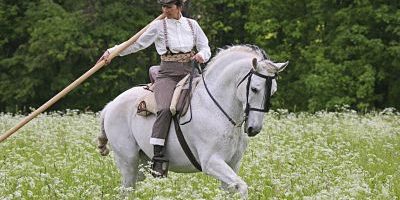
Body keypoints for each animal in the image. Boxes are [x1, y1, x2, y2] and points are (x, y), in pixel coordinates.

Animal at [98, 45, 290, 198]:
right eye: (255, 89)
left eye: (273, 91)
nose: (254, 129)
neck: (217, 109)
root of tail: (111, 105)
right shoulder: (212, 162)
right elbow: (242, 187)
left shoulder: (232, 165)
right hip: (128, 162)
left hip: (141, 165)